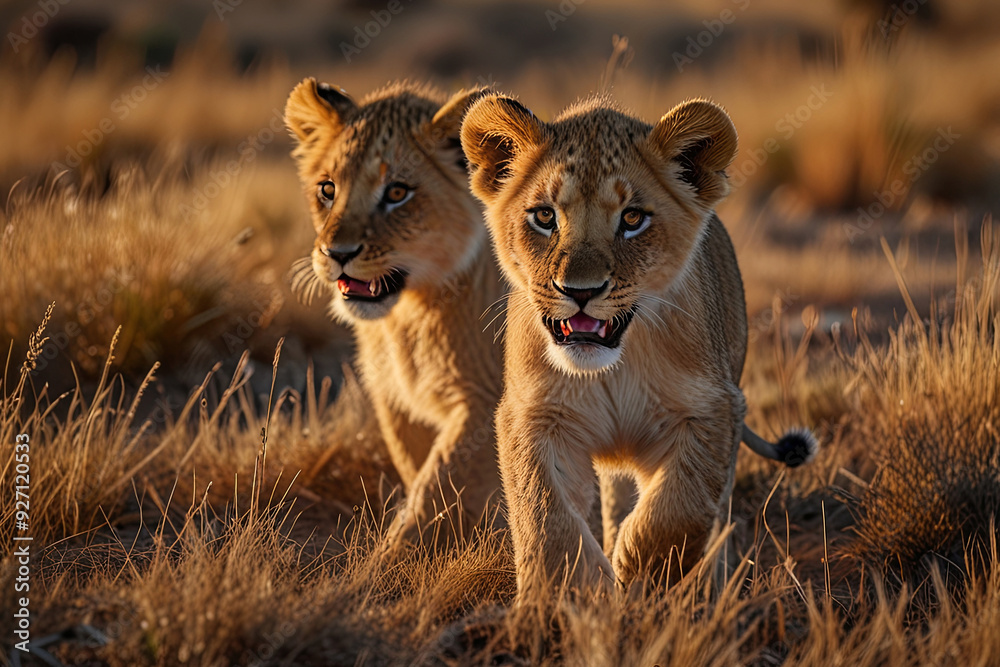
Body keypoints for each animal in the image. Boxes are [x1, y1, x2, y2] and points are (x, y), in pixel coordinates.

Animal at [284, 79, 505, 543]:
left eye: (398, 193)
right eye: (327, 189)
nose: (338, 254)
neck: (408, 318)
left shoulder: (484, 400)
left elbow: (437, 487)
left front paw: (387, 560)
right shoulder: (396, 399)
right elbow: (418, 474)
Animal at [460, 93, 816, 596]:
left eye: (632, 219)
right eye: (545, 216)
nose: (581, 291)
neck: (612, 365)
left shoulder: (714, 409)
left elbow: (681, 507)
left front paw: (638, 572)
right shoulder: (534, 414)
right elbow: (544, 514)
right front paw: (564, 594)